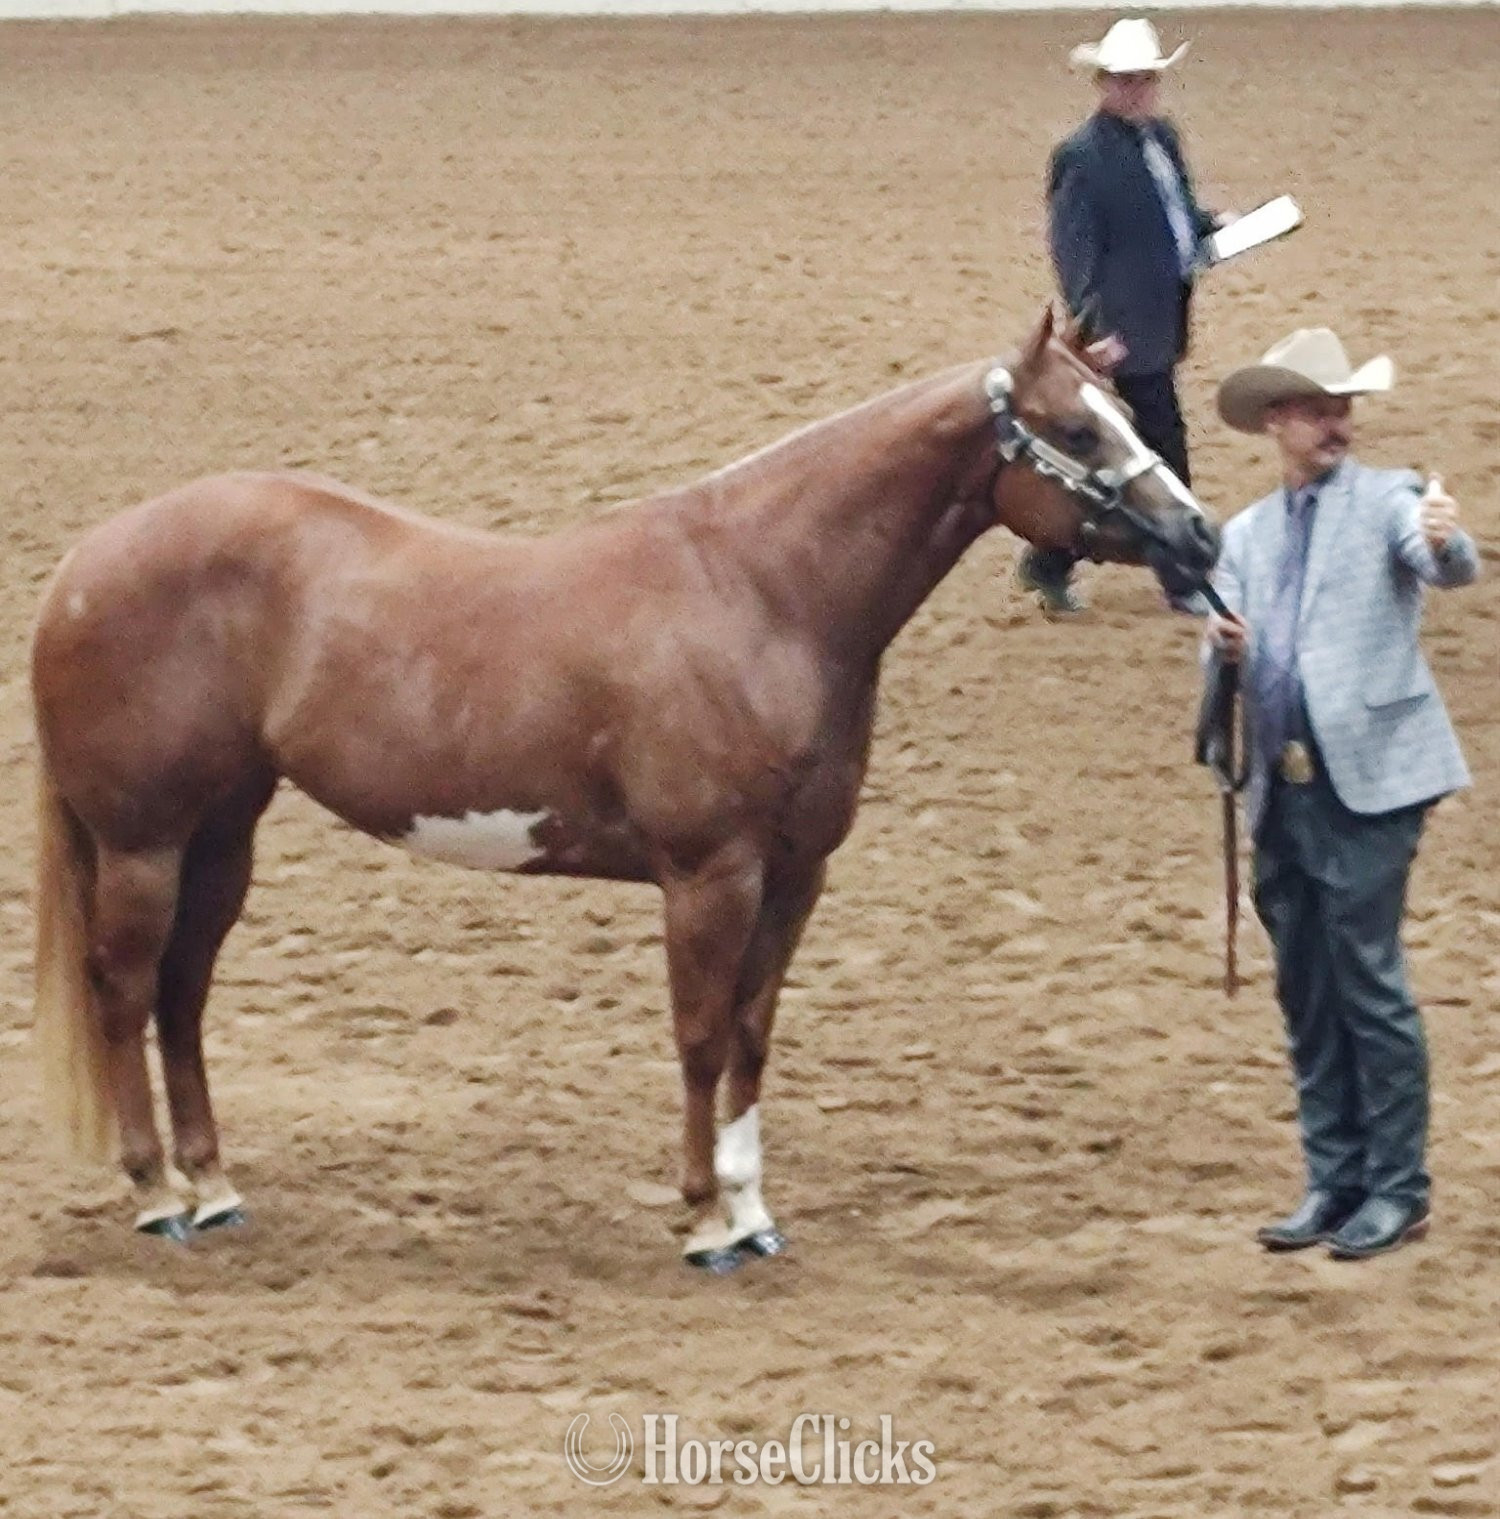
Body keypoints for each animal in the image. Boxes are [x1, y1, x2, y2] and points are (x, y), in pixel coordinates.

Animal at [30, 305, 1219, 1272]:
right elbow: (699, 1035)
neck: (761, 591)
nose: (1200, 535)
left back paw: (215, 1187)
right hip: (142, 841)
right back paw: (158, 1197)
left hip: (222, 835)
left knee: (183, 994)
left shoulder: (796, 876)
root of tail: (84, 564)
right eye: (1077, 431)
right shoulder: (709, 876)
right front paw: (702, 1221)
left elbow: (751, 1032)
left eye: (1123, 410)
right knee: (126, 992)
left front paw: (753, 1214)